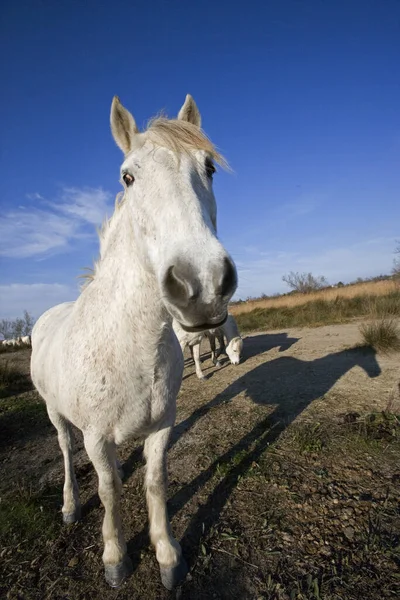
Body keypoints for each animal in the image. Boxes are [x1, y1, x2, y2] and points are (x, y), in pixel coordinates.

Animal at [32, 95, 238, 592]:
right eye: (127, 176)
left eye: (209, 167)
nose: (201, 284)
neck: (129, 344)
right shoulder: (95, 436)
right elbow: (108, 491)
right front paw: (116, 557)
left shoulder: (161, 427)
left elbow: (155, 483)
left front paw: (167, 555)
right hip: (56, 414)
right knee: (66, 452)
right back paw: (69, 506)